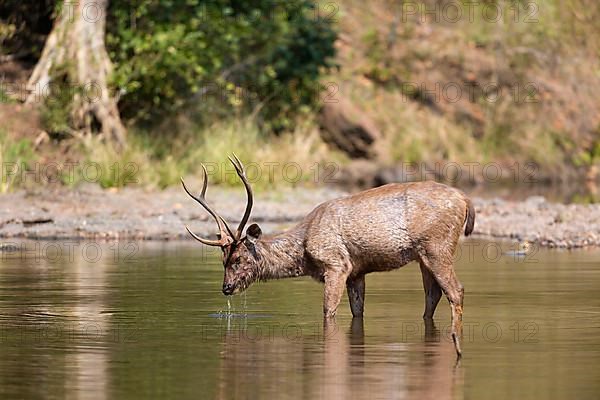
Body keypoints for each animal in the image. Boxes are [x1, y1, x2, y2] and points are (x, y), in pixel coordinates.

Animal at [180, 155, 476, 356]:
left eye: (239, 259)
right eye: (222, 260)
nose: (226, 288)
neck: (305, 251)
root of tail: (466, 200)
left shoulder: (336, 264)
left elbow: (328, 311)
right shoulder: (356, 271)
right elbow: (358, 311)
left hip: (438, 245)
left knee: (456, 290)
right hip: (424, 255)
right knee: (433, 294)